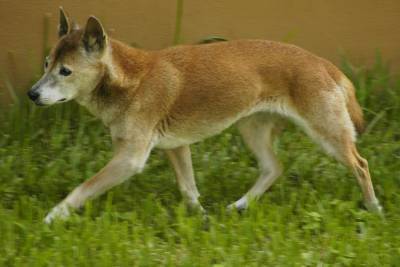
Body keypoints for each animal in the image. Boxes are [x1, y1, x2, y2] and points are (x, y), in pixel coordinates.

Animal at [26, 7, 382, 224]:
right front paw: (202, 219)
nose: (32, 94)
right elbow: (189, 188)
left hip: (327, 135)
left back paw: (374, 208)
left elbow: (81, 189)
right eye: (45, 63)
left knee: (361, 165)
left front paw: (52, 216)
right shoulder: (175, 147)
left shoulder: (129, 159)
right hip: (252, 130)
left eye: (65, 71)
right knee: (273, 168)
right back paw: (240, 205)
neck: (130, 80)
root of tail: (324, 64)